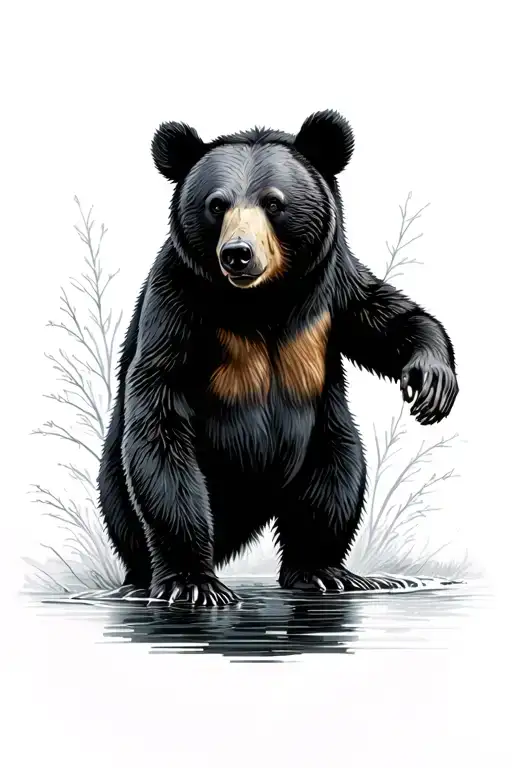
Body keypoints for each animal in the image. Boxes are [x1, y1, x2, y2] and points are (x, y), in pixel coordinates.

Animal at [98, 110, 459, 606]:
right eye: (216, 204)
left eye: (273, 202)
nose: (237, 254)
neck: (264, 302)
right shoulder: (178, 301)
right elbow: (160, 408)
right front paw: (192, 582)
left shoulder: (331, 290)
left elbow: (386, 316)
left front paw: (432, 382)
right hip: (118, 477)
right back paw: (142, 580)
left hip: (325, 433)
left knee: (337, 482)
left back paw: (324, 571)